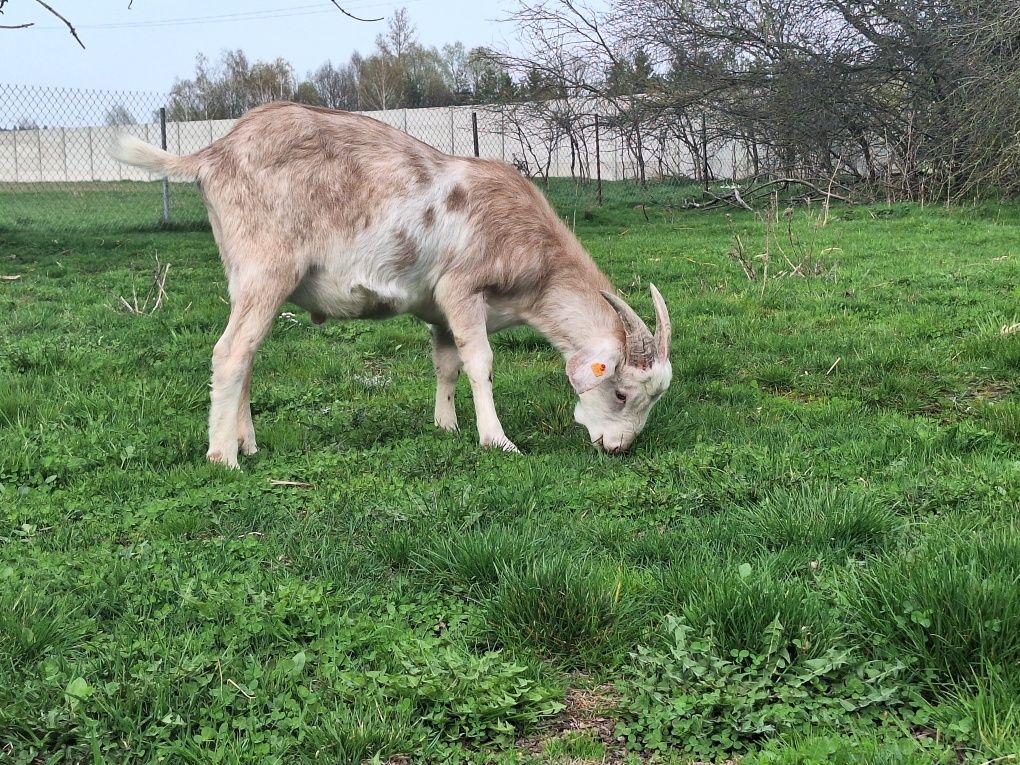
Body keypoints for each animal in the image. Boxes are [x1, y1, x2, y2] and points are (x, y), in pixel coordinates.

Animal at [111, 102, 673, 467]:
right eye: (621, 392)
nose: (618, 447)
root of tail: (211, 153)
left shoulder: (438, 309)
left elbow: (447, 363)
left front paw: (446, 426)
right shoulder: (462, 289)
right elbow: (480, 363)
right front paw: (497, 441)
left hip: (242, 276)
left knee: (246, 351)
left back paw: (246, 443)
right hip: (264, 268)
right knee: (230, 352)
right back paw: (223, 457)